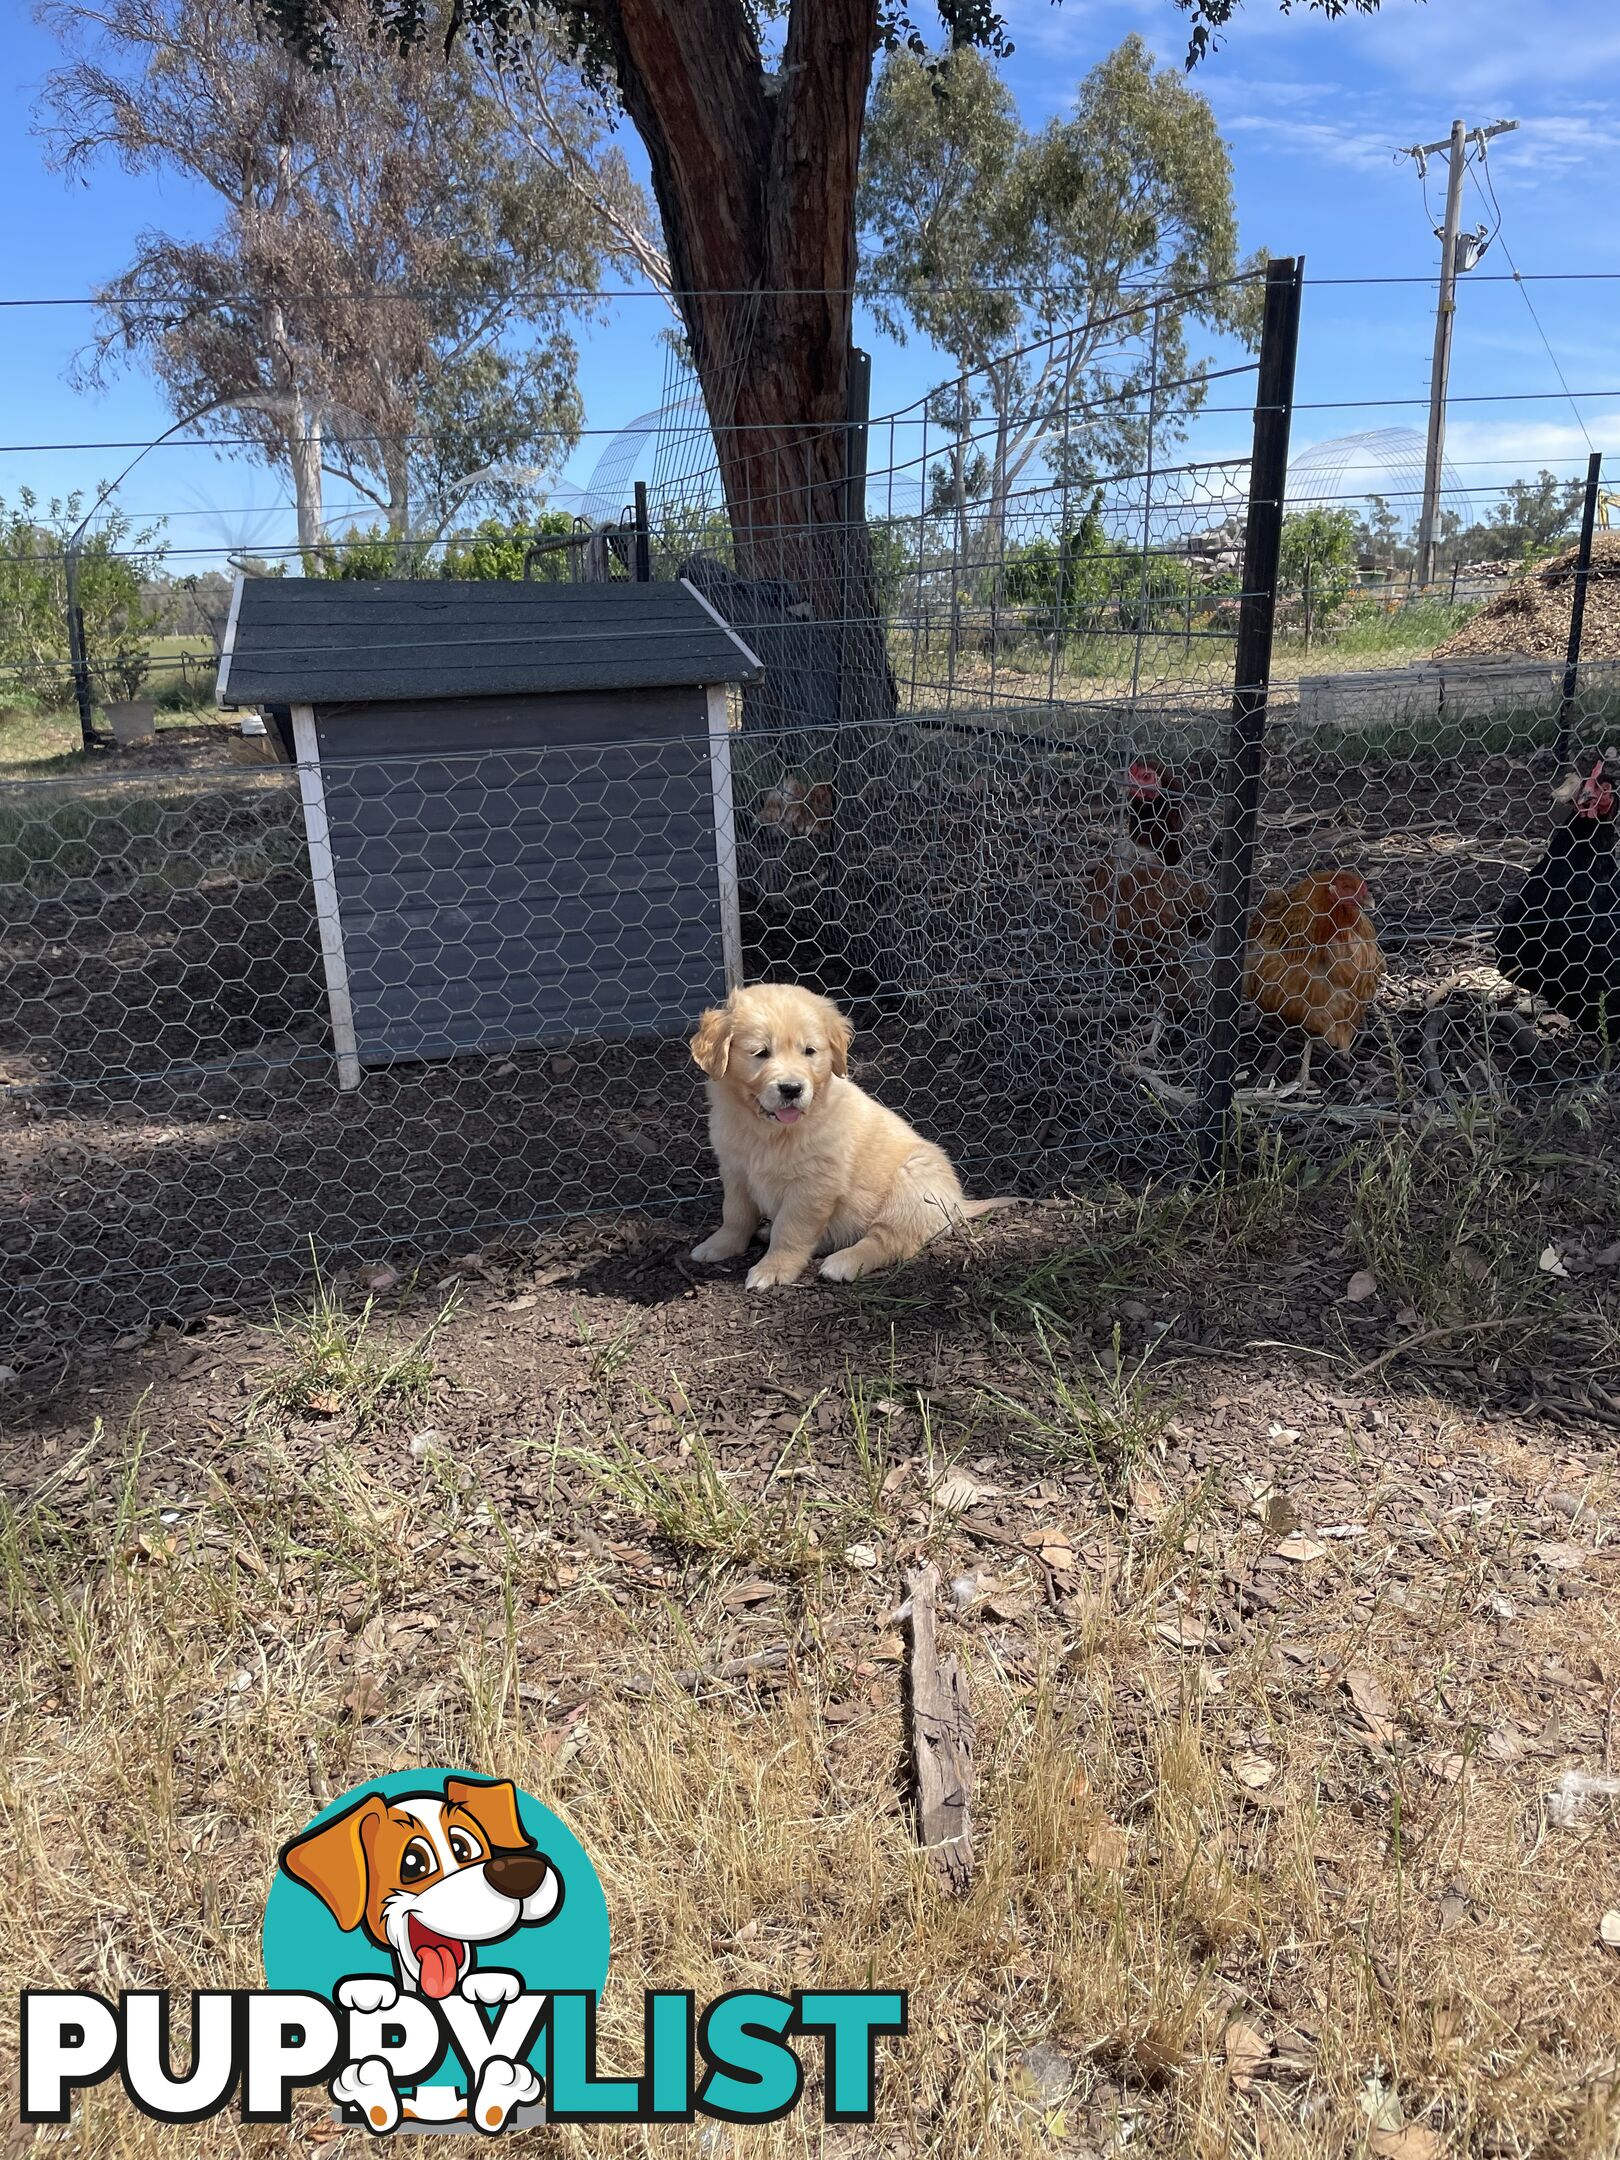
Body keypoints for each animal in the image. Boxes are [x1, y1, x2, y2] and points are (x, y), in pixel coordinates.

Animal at [686, 984, 1002, 1287]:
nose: (792, 1089)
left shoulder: (812, 1185)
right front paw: (720, 1245)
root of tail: (958, 1201)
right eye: (760, 1053)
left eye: (809, 1051)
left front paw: (773, 1269)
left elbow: (791, 1230)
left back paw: (844, 1262)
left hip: (912, 1186)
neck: (768, 1130)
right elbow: (734, 1213)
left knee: (887, 1241)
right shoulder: (735, 1170)